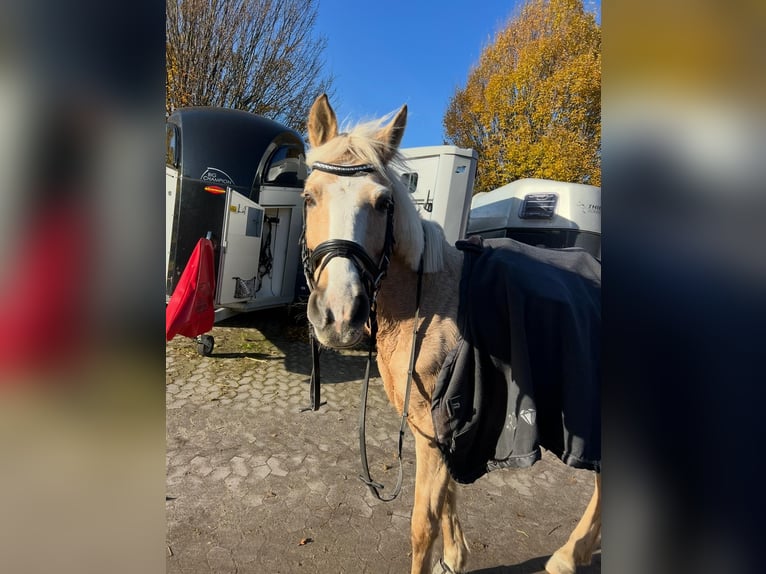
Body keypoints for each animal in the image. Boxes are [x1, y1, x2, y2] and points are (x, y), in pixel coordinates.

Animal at [301, 93, 601, 574]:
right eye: (310, 197)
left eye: (383, 203)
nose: (340, 315)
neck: (425, 304)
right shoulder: (440, 429)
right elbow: (447, 500)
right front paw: (455, 557)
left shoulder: (438, 427)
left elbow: (423, 521)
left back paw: (566, 558)